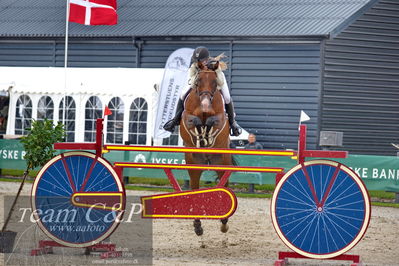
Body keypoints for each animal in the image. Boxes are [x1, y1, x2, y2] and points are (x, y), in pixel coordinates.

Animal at [180, 60, 233, 235]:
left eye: (215, 82)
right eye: (198, 82)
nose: (205, 105)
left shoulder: (220, 118)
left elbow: (213, 121)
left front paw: (206, 133)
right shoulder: (187, 117)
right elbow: (193, 120)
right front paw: (201, 134)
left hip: (222, 162)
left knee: (225, 183)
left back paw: (224, 221)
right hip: (193, 164)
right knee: (195, 188)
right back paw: (197, 225)